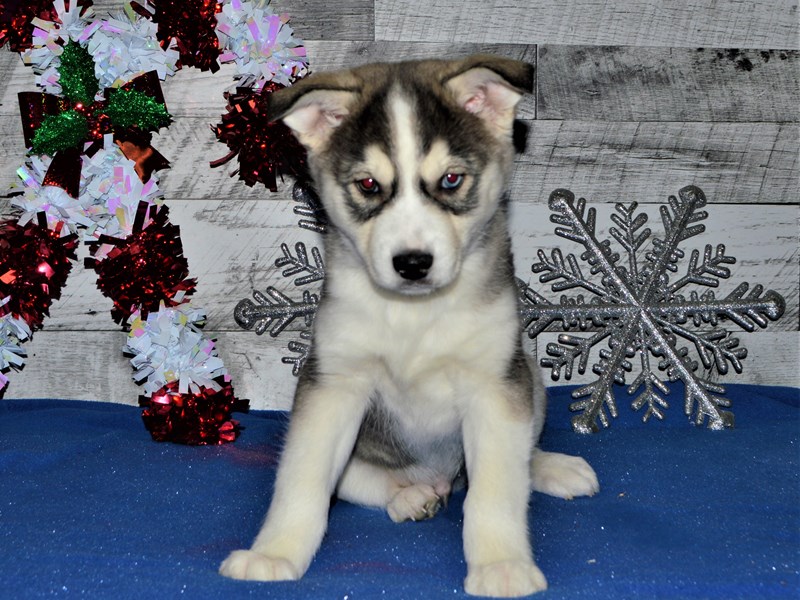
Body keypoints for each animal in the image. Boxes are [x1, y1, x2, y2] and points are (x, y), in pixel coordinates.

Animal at [222, 55, 596, 596]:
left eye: (451, 180)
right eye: (368, 185)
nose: (413, 263)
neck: (414, 313)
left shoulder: (493, 383)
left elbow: (496, 488)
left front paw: (501, 564)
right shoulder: (333, 384)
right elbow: (303, 481)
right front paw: (274, 553)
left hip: (528, 375)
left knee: (517, 454)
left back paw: (549, 467)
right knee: (357, 480)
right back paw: (410, 494)